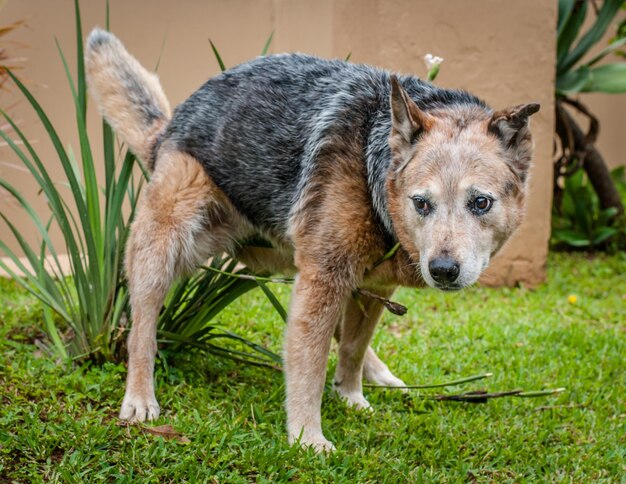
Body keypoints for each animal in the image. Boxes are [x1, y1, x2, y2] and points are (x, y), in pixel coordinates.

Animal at [85, 28, 540, 452]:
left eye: (480, 202)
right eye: (421, 203)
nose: (443, 270)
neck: (372, 166)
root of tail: (168, 126)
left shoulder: (373, 287)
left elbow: (352, 348)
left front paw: (351, 395)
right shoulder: (322, 280)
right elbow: (308, 366)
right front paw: (306, 436)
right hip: (168, 246)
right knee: (141, 330)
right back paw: (140, 398)